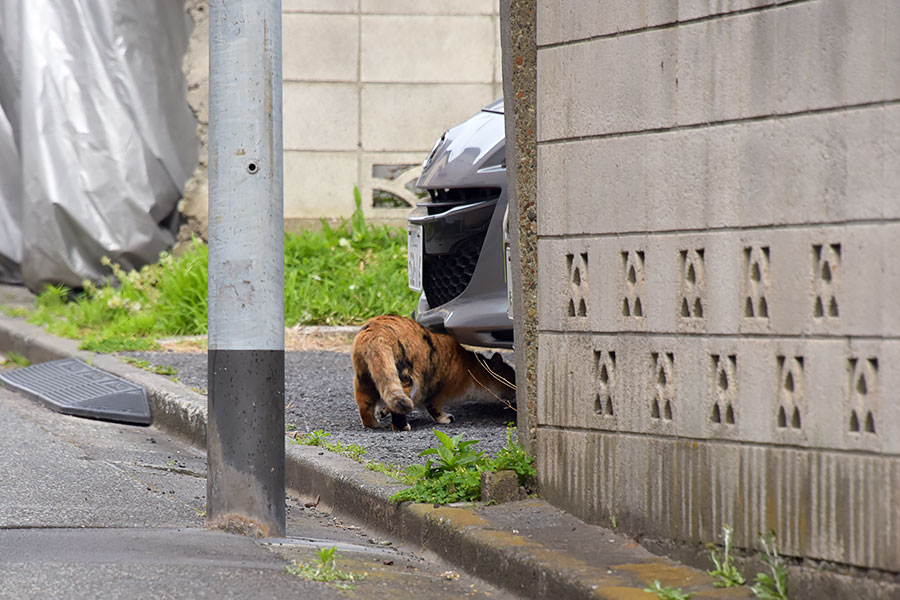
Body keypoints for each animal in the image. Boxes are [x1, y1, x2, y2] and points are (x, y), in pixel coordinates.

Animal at [356, 314, 516, 432]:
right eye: (513, 379)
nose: (516, 392)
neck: (470, 368)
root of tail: (377, 331)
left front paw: (382, 411)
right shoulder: (436, 390)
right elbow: (434, 408)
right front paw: (445, 419)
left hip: (365, 379)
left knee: (365, 404)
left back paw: (374, 424)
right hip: (407, 380)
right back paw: (403, 427)